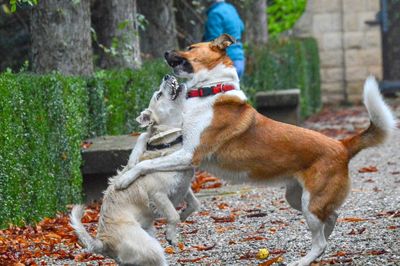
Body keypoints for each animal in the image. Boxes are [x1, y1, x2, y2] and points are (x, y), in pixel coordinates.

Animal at [70, 75, 200, 266]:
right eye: (158, 95)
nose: (167, 76)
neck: (168, 143)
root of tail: (102, 242)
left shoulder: (184, 187)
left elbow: (195, 204)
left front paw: (184, 214)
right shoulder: (158, 195)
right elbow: (172, 215)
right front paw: (172, 234)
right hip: (151, 247)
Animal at [114, 34, 396, 264]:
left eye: (190, 47)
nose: (164, 54)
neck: (211, 91)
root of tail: (342, 145)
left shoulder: (189, 154)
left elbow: (146, 163)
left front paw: (124, 179)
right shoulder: (179, 144)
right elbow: (144, 143)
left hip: (310, 204)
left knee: (320, 242)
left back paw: (303, 260)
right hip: (298, 198)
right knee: (333, 217)